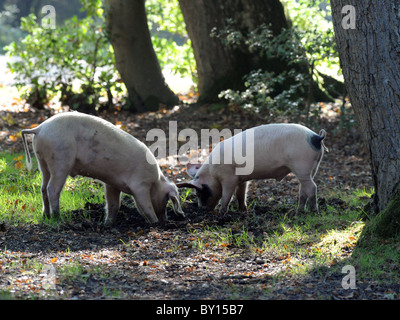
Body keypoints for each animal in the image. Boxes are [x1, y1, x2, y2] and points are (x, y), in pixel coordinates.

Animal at [21, 112, 184, 225]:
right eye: (167, 199)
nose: (165, 221)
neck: (155, 181)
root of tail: (40, 128)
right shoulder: (140, 185)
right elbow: (145, 205)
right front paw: (155, 223)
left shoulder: (112, 184)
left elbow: (114, 204)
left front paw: (107, 224)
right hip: (60, 161)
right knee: (52, 189)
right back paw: (58, 218)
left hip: (42, 161)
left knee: (43, 188)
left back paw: (46, 216)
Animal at [177, 124, 326, 214]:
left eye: (198, 193)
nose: (201, 209)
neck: (212, 173)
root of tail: (316, 137)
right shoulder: (241, 179)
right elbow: (240, 194)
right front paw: (244, 210)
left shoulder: (229, 178)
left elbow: (227, 195)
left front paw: (221, 213)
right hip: (312, 168)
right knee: (303, 189)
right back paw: (297, 212)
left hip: (301, 165)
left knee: (312, 187)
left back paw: (314, 212)